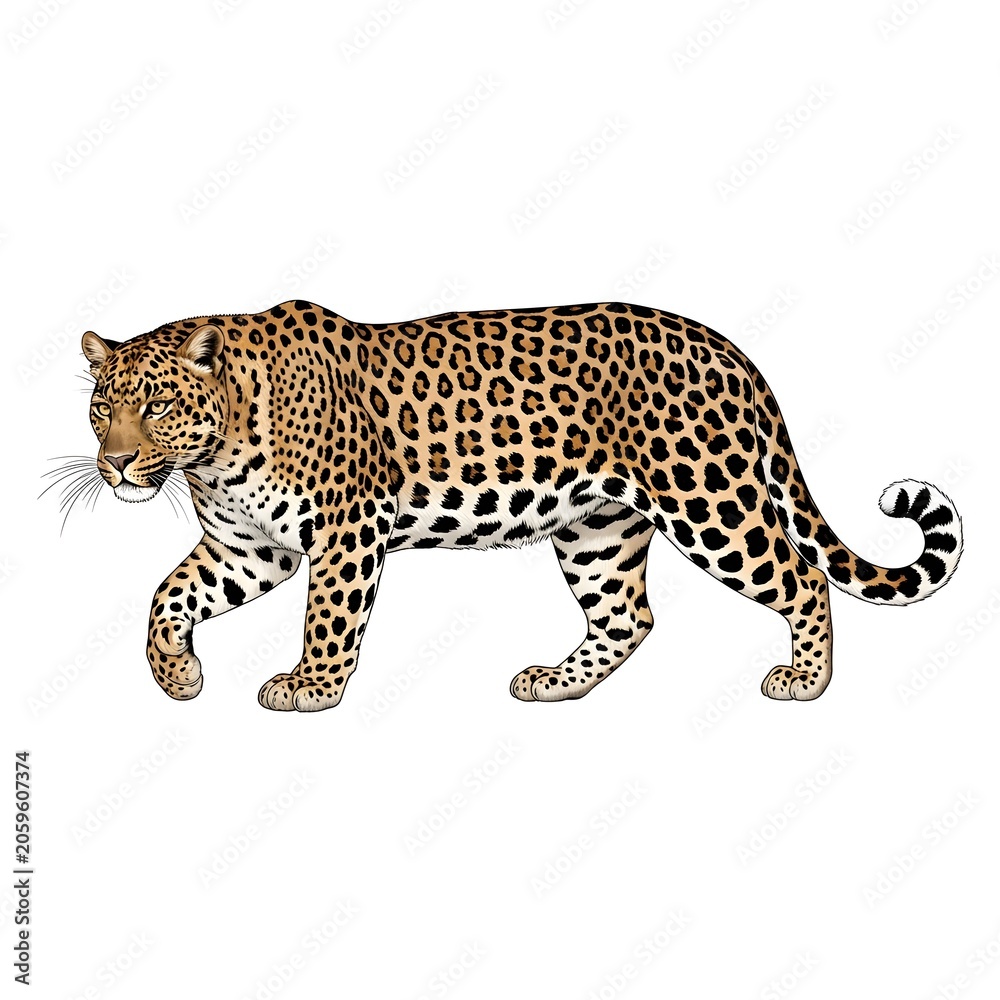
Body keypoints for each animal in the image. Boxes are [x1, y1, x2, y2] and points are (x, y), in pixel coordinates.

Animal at [76, 299, 962, 712]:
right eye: (101, 408)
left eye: (156, 405)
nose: (114, 464)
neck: (215, 455)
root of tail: (728, 349)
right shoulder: (250, 548)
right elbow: (166, 597)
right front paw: (178, 676)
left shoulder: (345, 531)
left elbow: (326, 617)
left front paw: (310, 687)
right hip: (598, 526)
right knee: (627, 617)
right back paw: (556, 684)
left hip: (708, 500)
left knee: (801, 578)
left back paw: (805, 680)